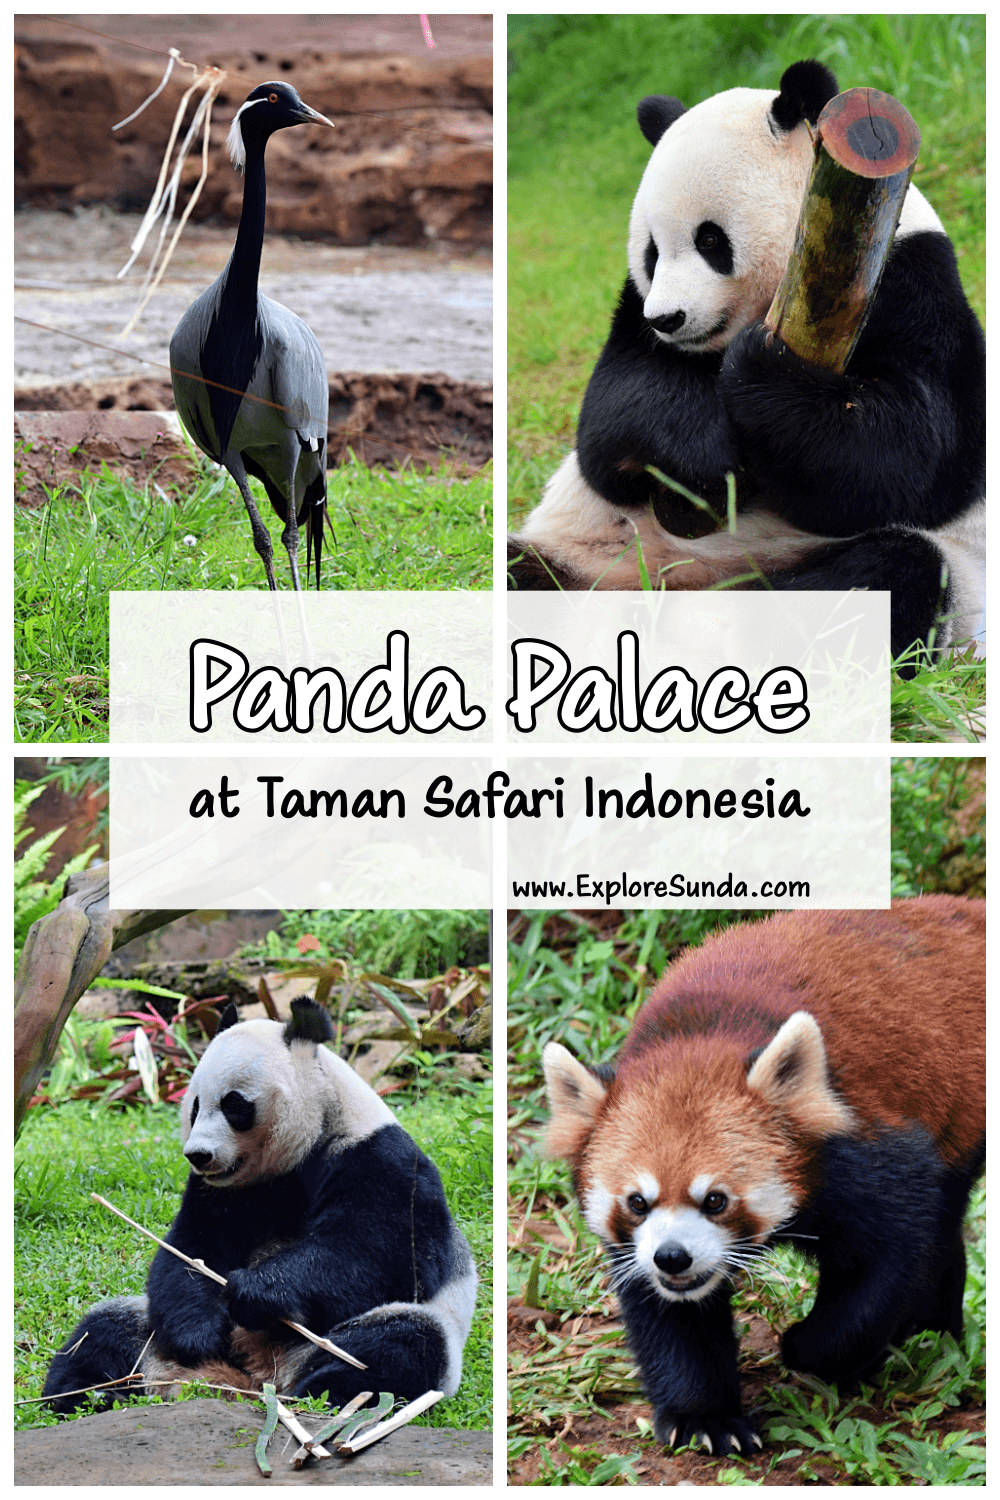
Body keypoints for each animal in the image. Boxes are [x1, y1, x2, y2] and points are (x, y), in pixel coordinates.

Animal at [43, 998, 477, 1415]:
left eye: (234, 1104)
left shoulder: (381, 1161)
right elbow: (191, 1249)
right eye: (194, 1105)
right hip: (149, 1331)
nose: (198, 1155)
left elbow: (381, 1256)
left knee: (398, 1345)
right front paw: (197, 1332)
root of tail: (253, 1379)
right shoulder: (223, 1192)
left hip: (343, 1340)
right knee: (104, 1330)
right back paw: (87, 1394)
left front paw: (256, 1292)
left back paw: (323, 1394)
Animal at [508, 60, 986, 666]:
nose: (668, 318)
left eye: (710, 239)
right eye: (652, 252)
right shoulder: (633, 319)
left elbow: (910, 459)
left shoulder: (914, 284)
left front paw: (761, 372)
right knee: (519, 573)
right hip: (581, 554)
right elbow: (613, 421)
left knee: (891, 574)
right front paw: (700, 479)